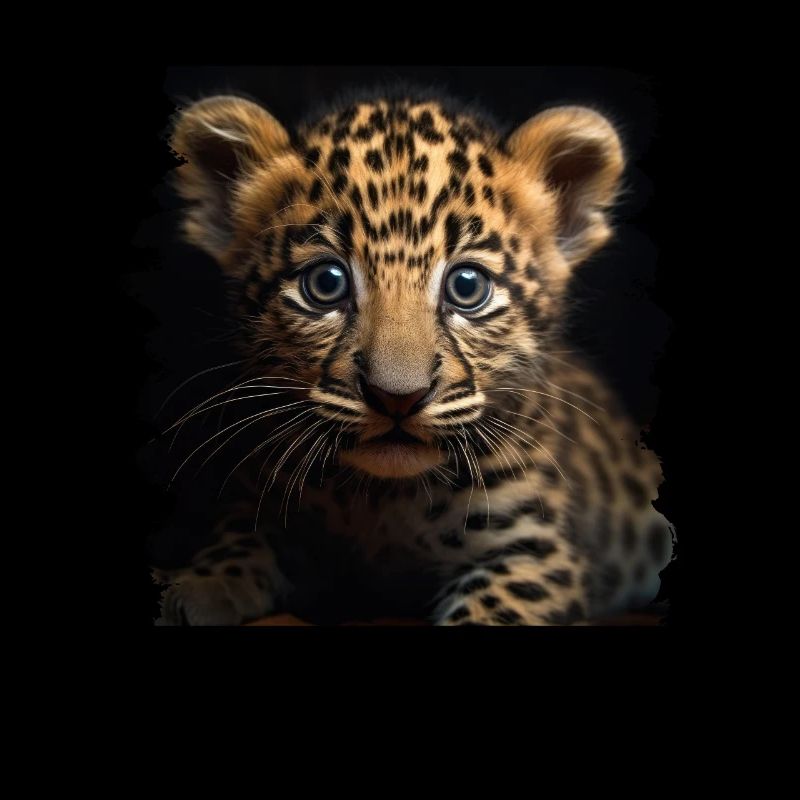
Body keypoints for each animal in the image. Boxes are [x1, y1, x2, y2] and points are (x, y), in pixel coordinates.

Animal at [151, 86, 675, 626]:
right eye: (326, 283)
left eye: (467, 287)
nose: (397, 398)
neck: (383, 500)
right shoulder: (268, 499)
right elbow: (240, 535)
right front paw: (202, 586)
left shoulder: (536, 550)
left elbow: (489, 612)